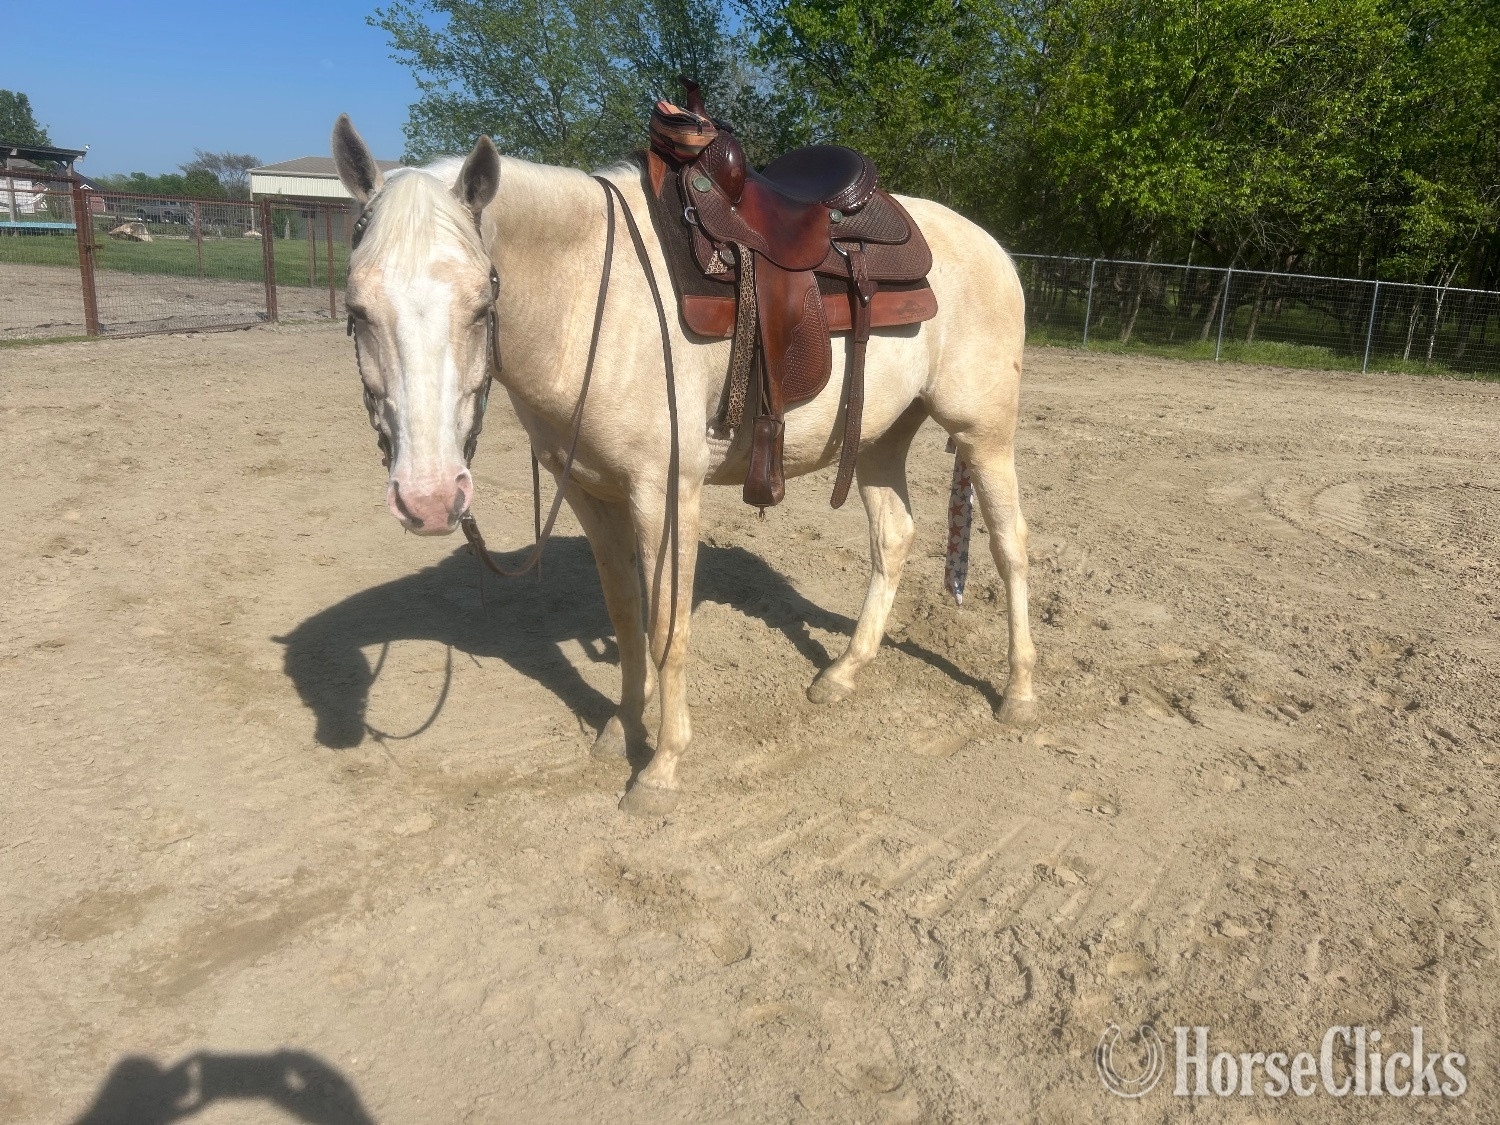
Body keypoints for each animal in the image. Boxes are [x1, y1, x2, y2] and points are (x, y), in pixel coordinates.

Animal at [329, 115, 1036, 816]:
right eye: (356, 311)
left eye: (482, 305)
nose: (428, 498)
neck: (592, 298)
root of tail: (991, 248)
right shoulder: (591, 493)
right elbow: (625, 615)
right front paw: (621, 727)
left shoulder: (664, 491)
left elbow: (668, 625)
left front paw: (662, 767)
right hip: (880, 438)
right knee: (893, 537)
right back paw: (843, 672)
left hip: (983, 432)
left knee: (1010, 545)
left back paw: (1019, 693)